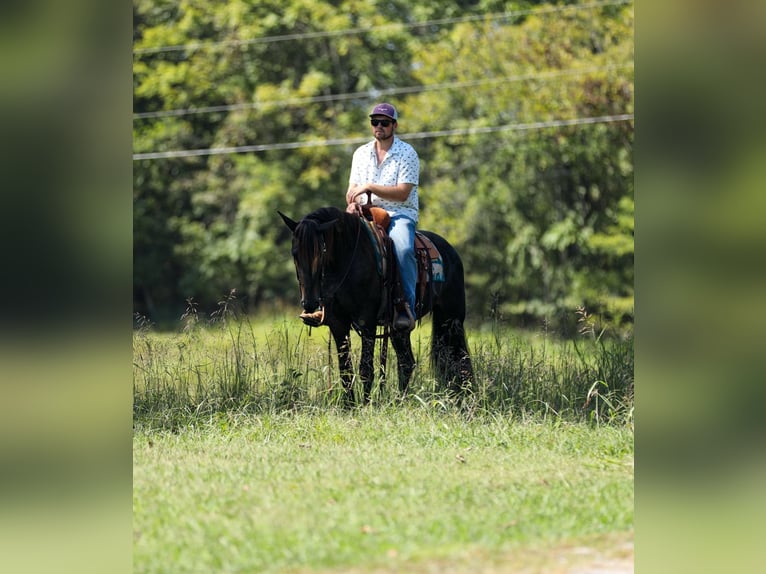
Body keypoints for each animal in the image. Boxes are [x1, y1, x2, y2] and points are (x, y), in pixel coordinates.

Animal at [279, 206, 472, 405]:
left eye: (321, 252)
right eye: (295, 253)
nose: (309, 303)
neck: (348, 260)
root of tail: (450, 250)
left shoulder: (367, 323)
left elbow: (366, 369)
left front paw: (365, 405)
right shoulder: (337, 323)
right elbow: (345, 371)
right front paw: (349, 406)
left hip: (451, 318)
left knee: (459, 360)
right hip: (400, 328)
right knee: (407, 362)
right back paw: (401, 401)